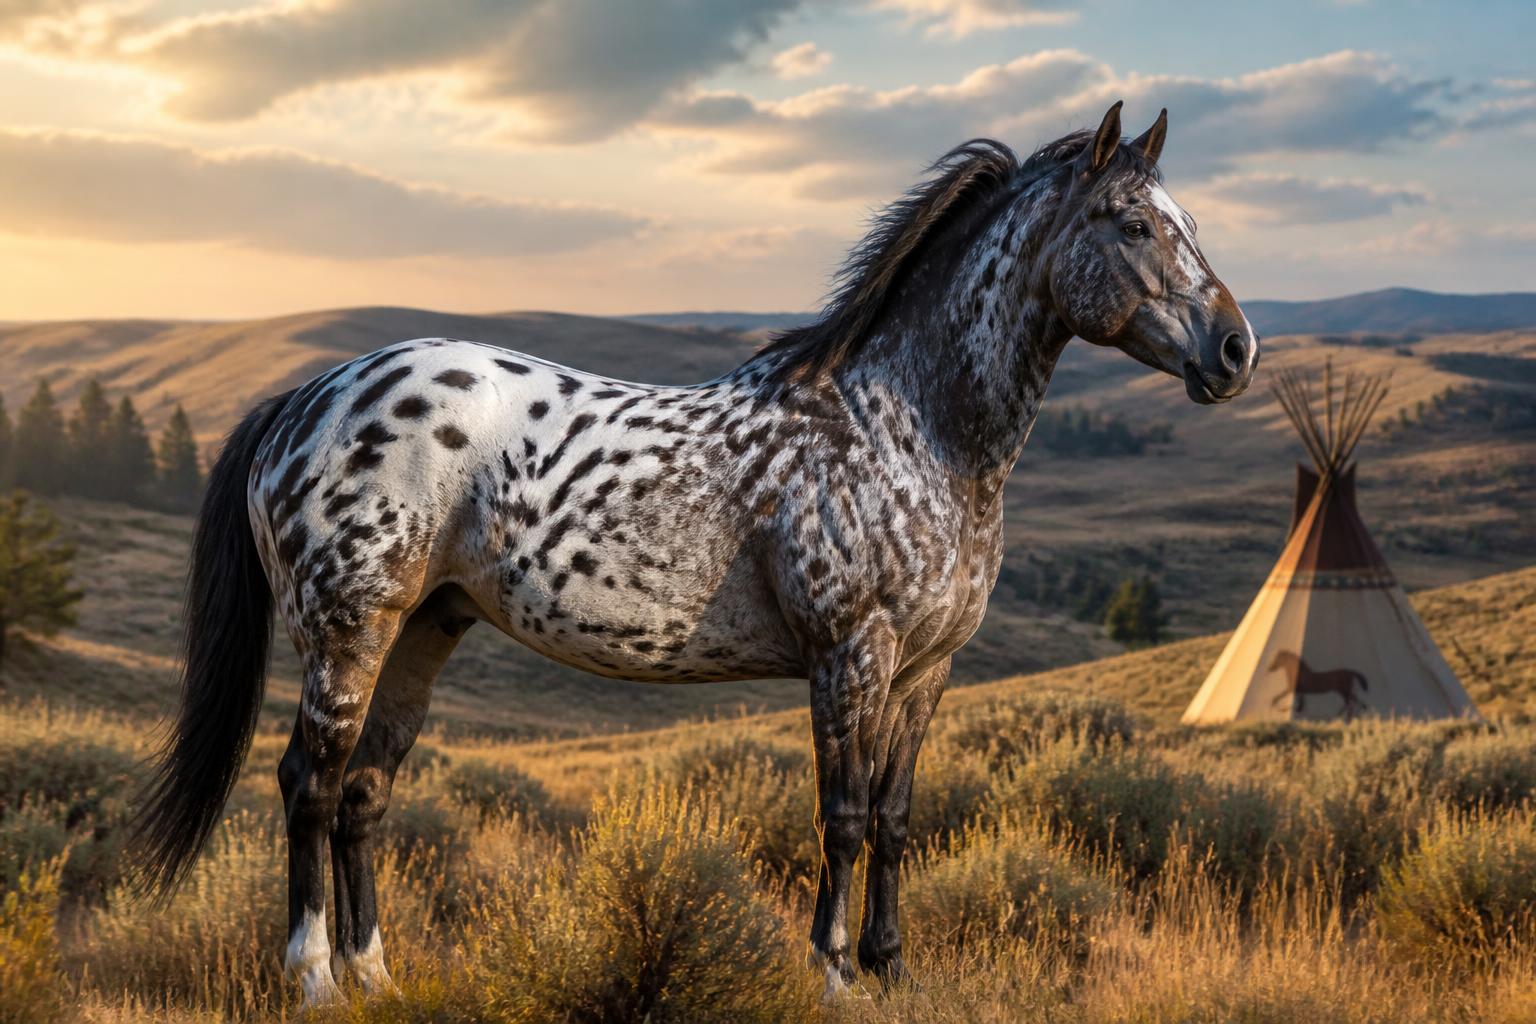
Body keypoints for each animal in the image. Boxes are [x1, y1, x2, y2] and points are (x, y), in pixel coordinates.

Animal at [129, 102, 1258, 1006]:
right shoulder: (853, 655)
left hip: (426, 628)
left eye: (1192, 224)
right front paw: (833, 972)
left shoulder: (928, 670)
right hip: (348, 629)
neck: (912, 424)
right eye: (1135, 223)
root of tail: (307, 397)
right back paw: (314, 975)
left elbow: (897, 818)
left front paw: (894, 967)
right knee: (309, 785)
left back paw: (377, 976)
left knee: (364, 793)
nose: (1236, 350)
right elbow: (842, 814)